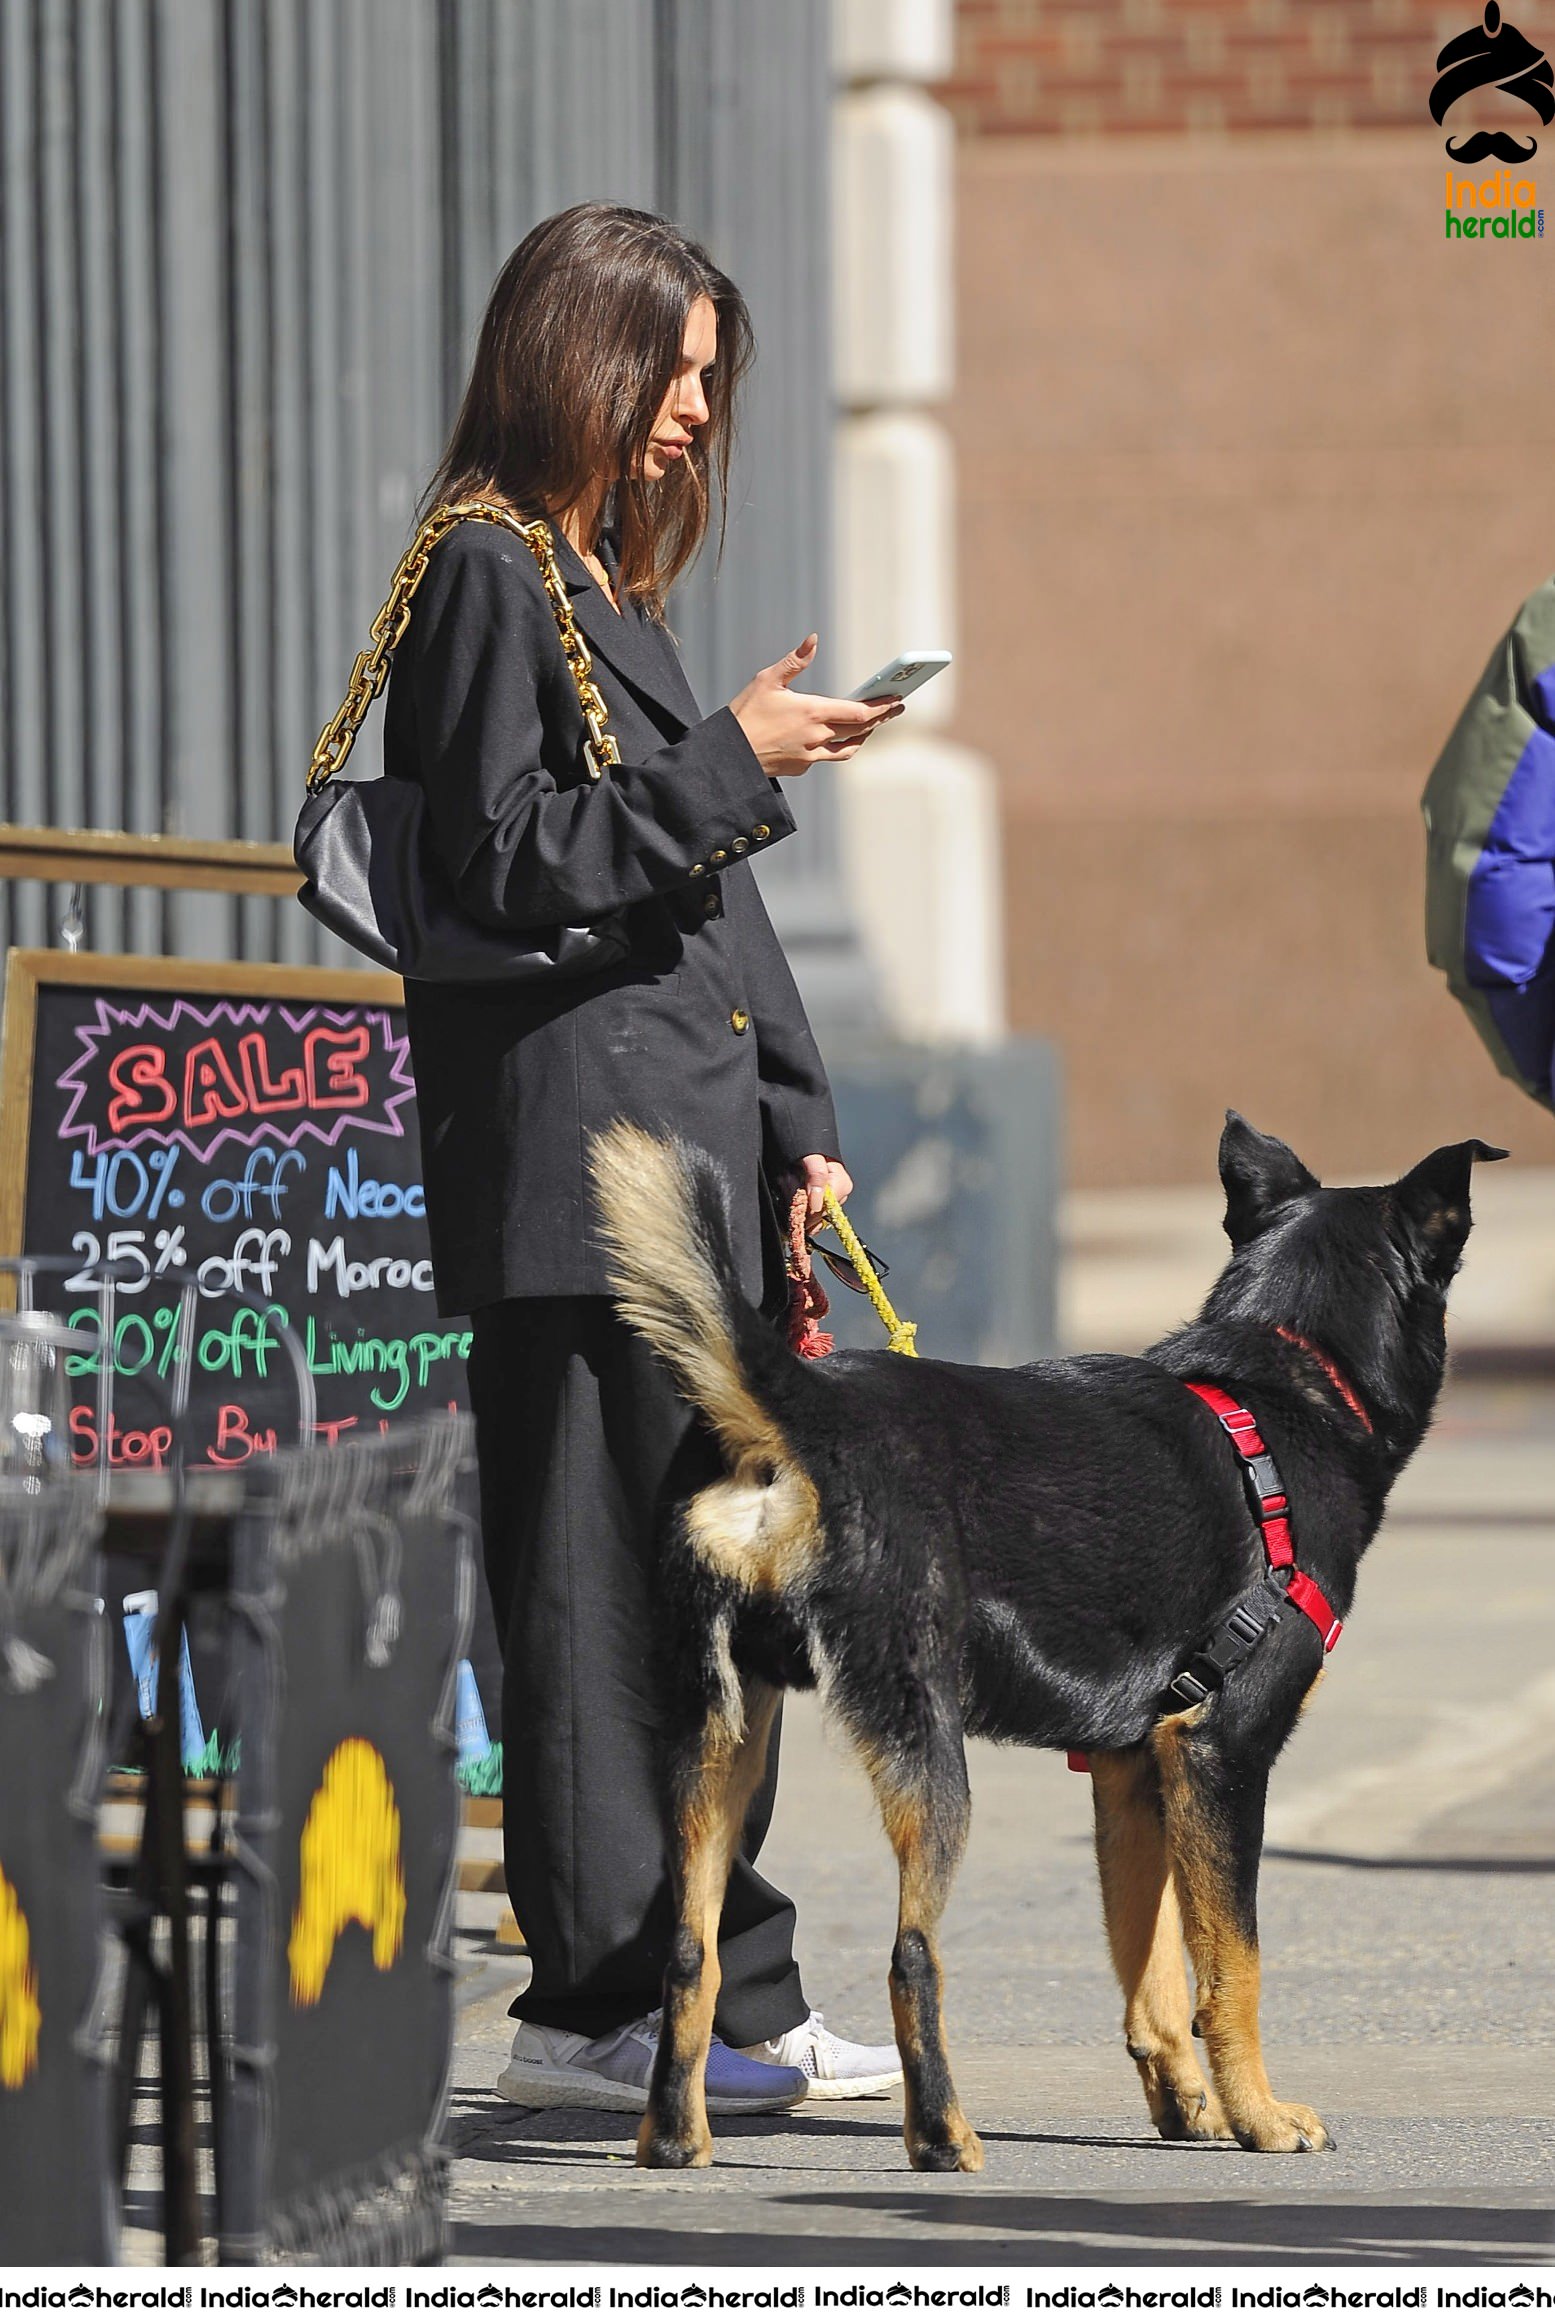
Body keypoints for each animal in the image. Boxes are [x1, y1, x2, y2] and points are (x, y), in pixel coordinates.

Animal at [588, 1115, 1496, 2165]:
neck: (1284, 1383)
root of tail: (798, 1407)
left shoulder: (1134, 1768)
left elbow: (1153, 1970)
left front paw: (1186, 2105)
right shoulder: (1222, 1754)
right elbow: (1232, 1967)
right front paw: (1259, 2117)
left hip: (716, 1737)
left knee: (689, 1953)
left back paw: (674, 2137)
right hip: (924, 1747)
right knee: (911, 1957)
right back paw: (943, 2137)